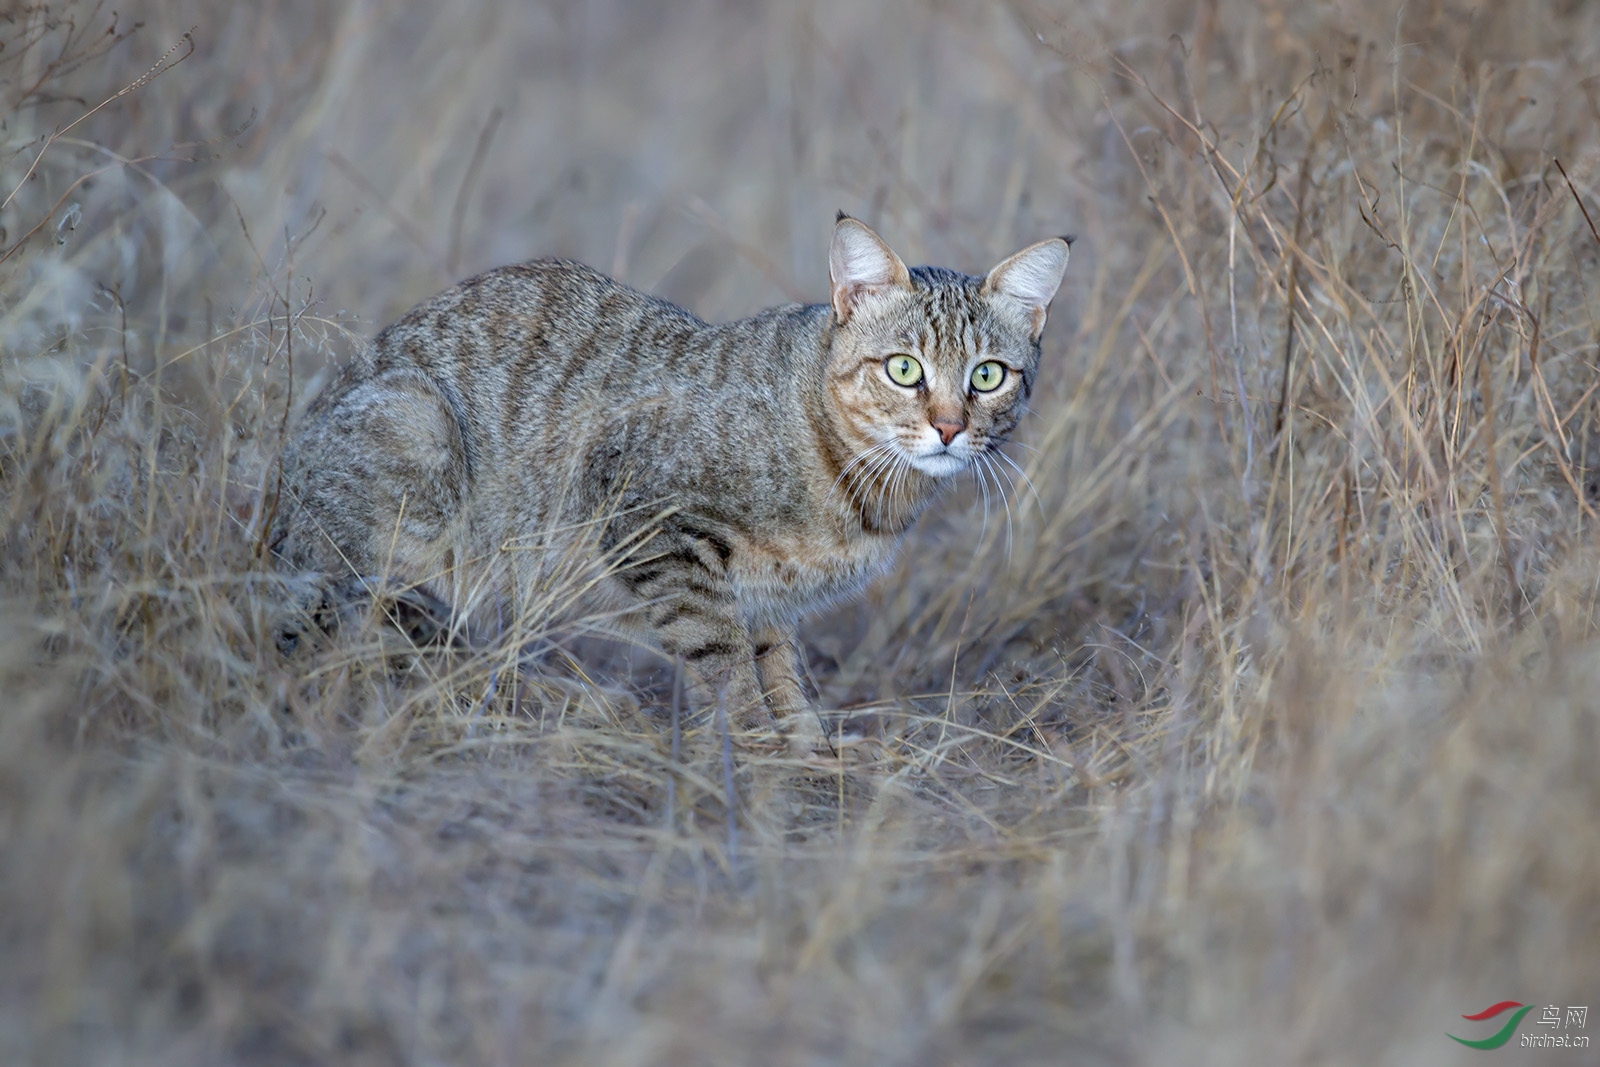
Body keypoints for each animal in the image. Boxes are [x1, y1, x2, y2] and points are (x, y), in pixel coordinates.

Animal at [273, 212, 1068, 755]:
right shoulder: (653, 522)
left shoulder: (766, 597)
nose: (948, 427)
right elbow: (722, 657)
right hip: (417, 432)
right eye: (904, 368)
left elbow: (779, 666)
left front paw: (809, 744)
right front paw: (758, 744)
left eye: (987, 376)